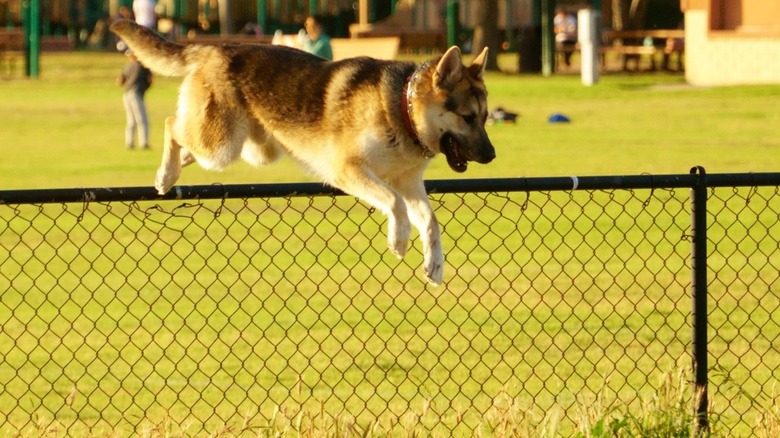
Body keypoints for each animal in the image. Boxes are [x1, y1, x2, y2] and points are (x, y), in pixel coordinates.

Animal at [111, 20, 494, 286]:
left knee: (183, 139)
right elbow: (395, 205)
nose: (491, 155)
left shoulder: (408, 183)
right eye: (467, 117)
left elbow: (430, 221)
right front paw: (398, 241)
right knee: (171, 124)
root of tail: (213, 48)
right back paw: (165, 175)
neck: (402, 109)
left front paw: (434, 264)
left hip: (248, 149)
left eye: (485, 117)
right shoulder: (348, 171)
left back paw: (171, 173)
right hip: (220, 144)